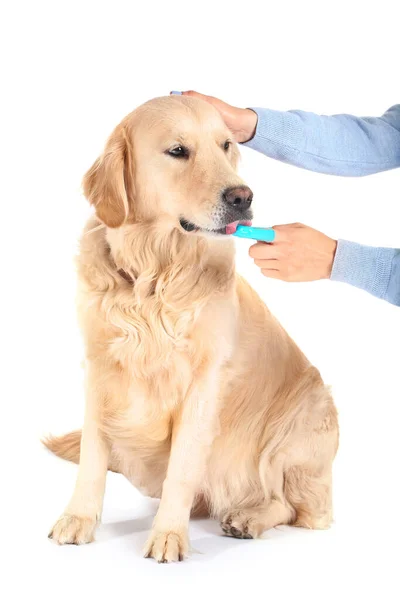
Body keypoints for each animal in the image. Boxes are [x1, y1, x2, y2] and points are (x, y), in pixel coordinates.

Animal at [44, 95, 338, 564]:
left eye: (225, 145)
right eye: (177, 150)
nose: (242, 196)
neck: (154, 273)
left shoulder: (203, 384)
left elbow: (182, 469)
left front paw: (168, 535)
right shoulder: (99, 368)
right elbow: (92, 457)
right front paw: (78, 518)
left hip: (302, 416)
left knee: (286, 502)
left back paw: (246, 518)